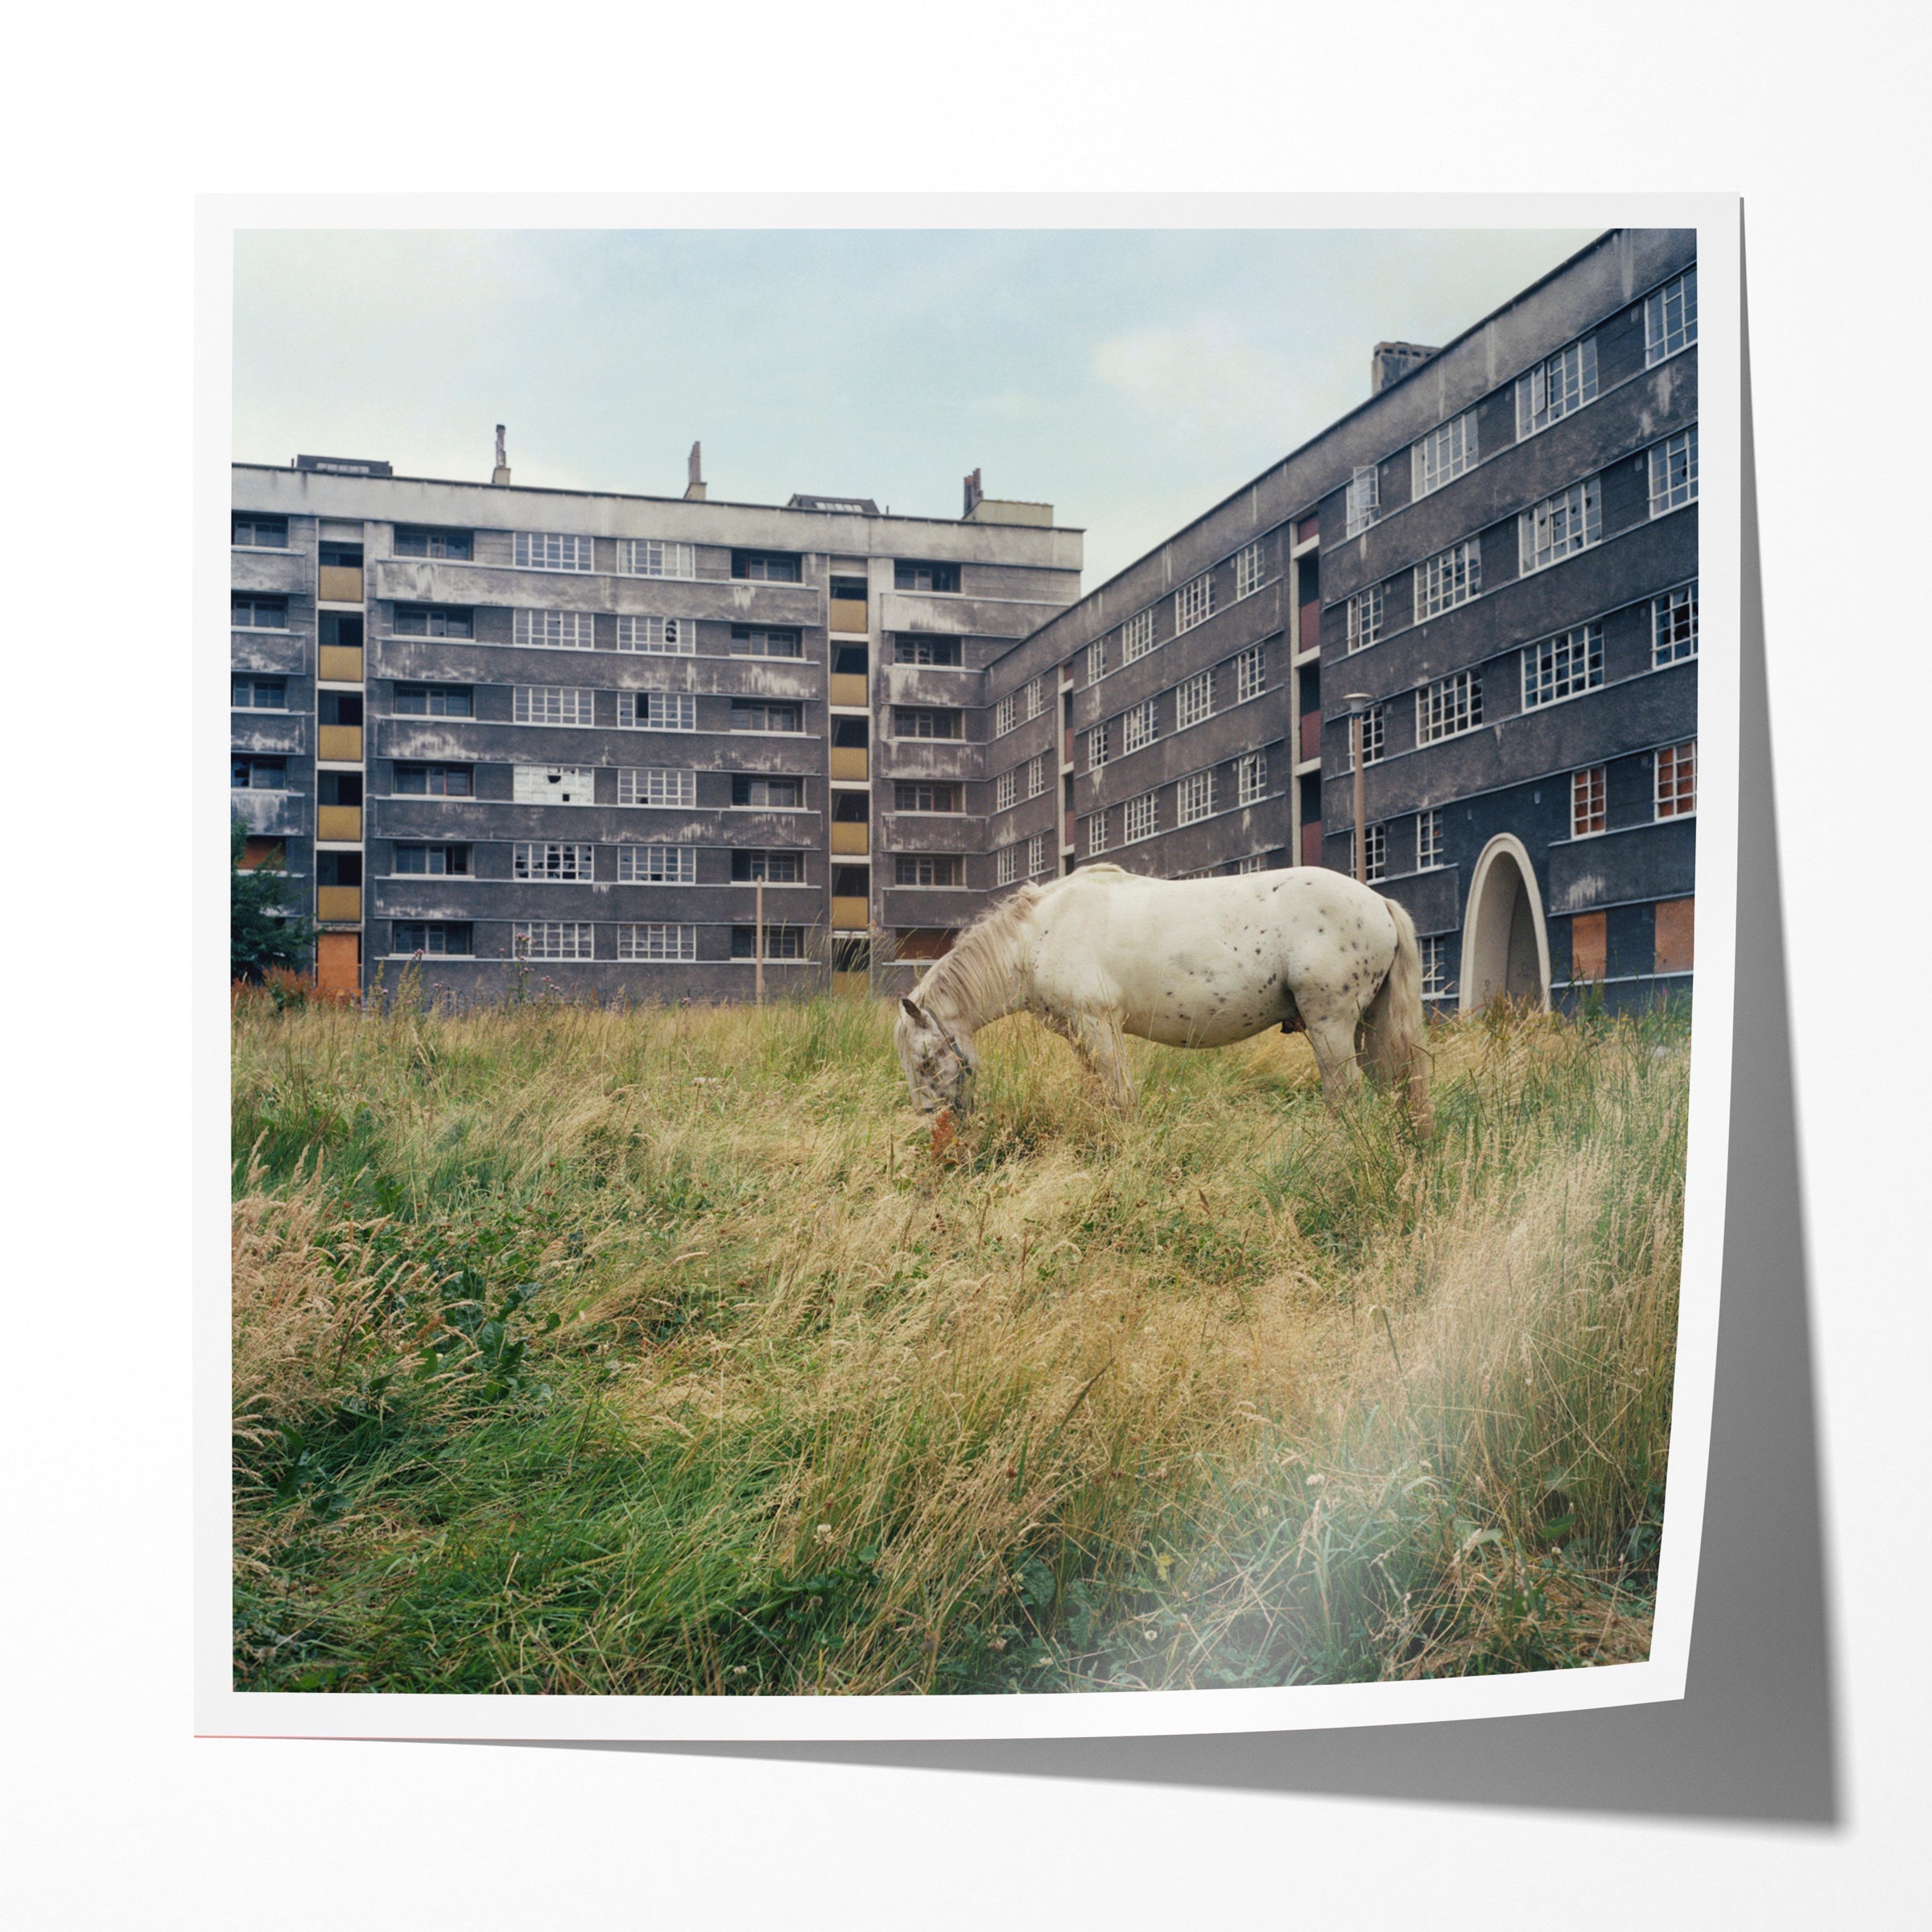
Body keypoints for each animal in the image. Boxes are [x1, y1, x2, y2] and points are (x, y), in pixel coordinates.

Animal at [896, 865, 1430, 1128]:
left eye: (925, 1062)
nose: (930, 1127)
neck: (1037, 936)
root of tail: (1377, 902)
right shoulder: (1080, 1036)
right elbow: (1101, 1096)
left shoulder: (1099, 1025)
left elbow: (1121, 1097)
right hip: (1364, 1028)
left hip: (1331, 1027)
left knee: (1345, 1097)